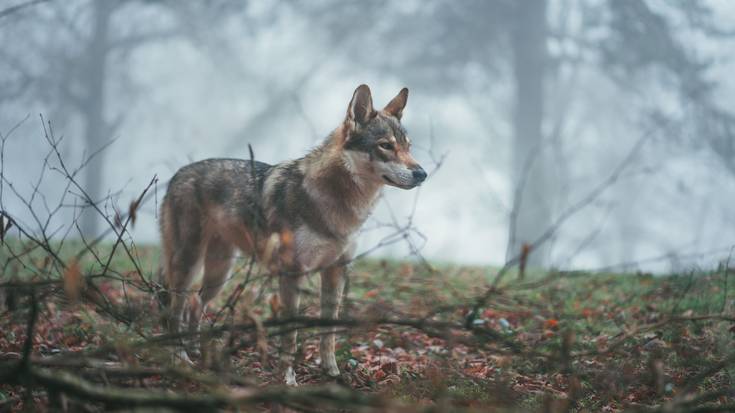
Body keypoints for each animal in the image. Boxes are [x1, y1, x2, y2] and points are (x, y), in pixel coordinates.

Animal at [160, 83, 426, 384]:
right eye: (386, 145)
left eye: (408, 147)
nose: (422, 174)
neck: (336, 203)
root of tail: (178, 173)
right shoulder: (291, 274)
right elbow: (291, 336)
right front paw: (288, 379)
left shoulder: (335, 271)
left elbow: (328, 332)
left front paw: (332, 372)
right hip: (189, 264)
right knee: (175, 311)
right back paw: (180, 359)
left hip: (219, 272)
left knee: (194, 304)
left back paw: (195, 351)